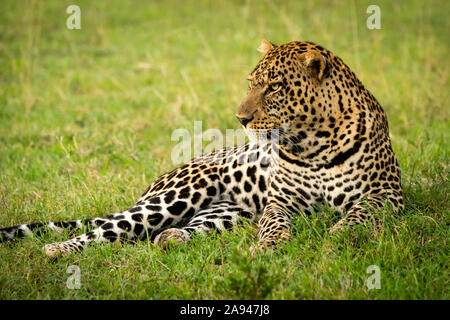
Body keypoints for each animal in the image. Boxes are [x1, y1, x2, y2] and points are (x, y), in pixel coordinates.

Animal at [0, 40, 404, 258]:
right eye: (251, 83)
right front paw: (268, 247)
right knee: (108, 229)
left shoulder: (387, 193)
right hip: (175, 197)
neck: (312, 142)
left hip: (227, 213)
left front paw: (339, 234)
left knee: (174, 231)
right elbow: (274, 224)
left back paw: (172, 239)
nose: (241, 118)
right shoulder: (280, 202)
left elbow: (360, 212)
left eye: (273, 87)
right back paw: (57, 250)